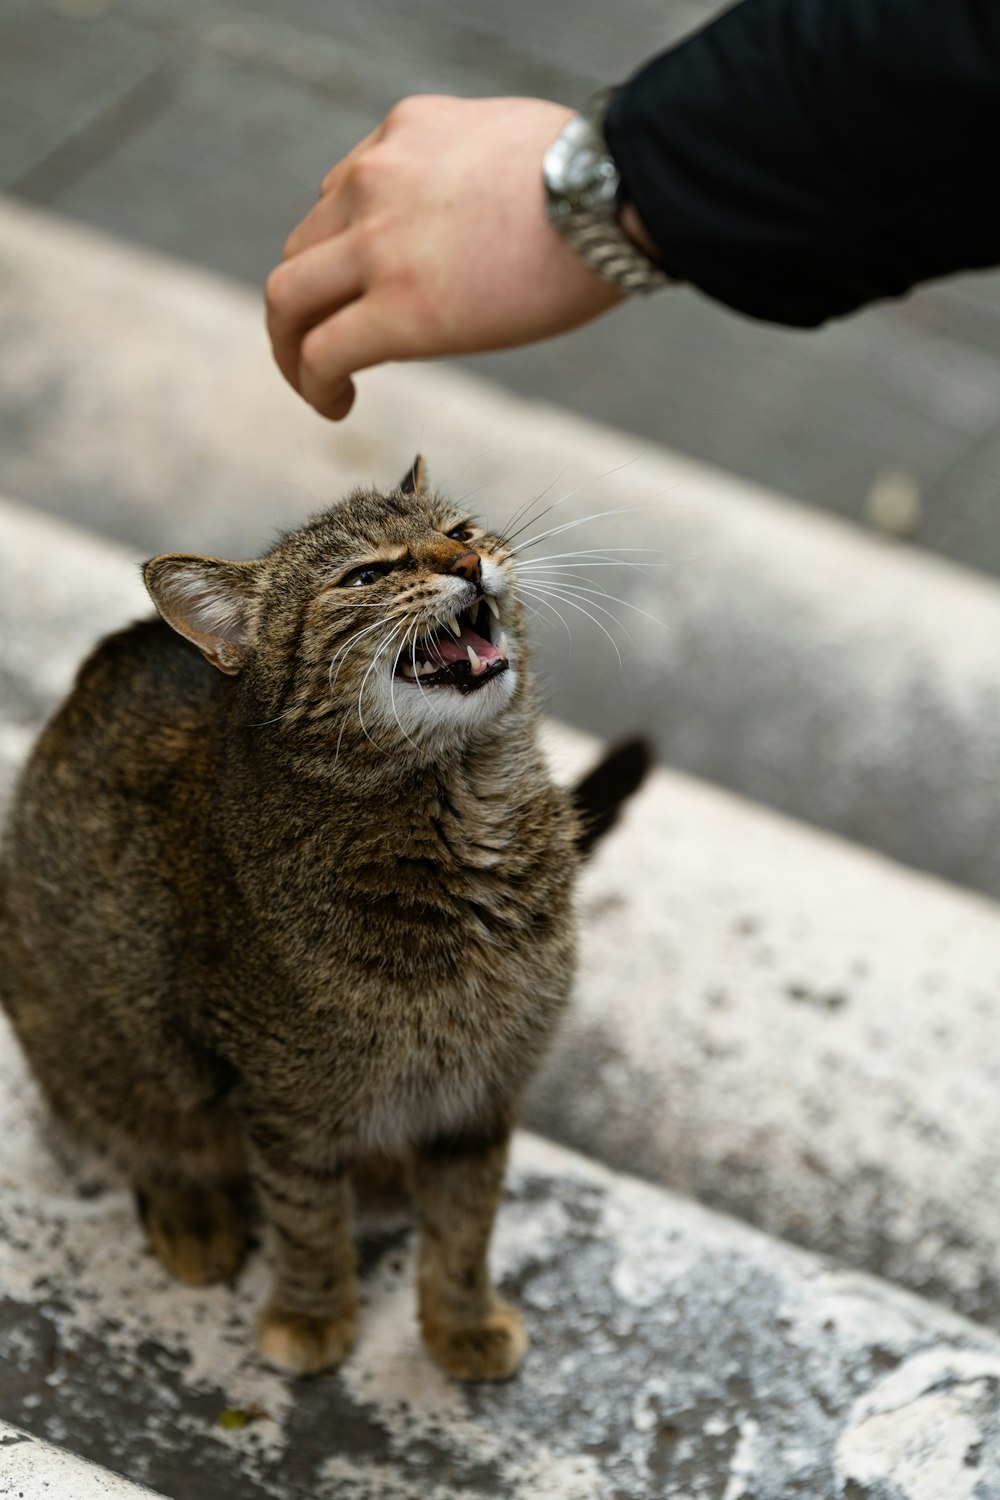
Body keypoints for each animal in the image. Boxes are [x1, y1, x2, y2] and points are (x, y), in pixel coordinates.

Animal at [0, 456, 650, 1380]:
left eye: (457, 530)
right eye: (366, 577)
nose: (466, 563)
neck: (465, 811)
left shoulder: (480, 1096)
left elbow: (466, 1228)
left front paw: (460, 1325)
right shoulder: (286, 1107)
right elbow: (307, 1220)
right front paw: (312, 1316)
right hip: (93, 1034)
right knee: (134, 1131)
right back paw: (194, 1219)